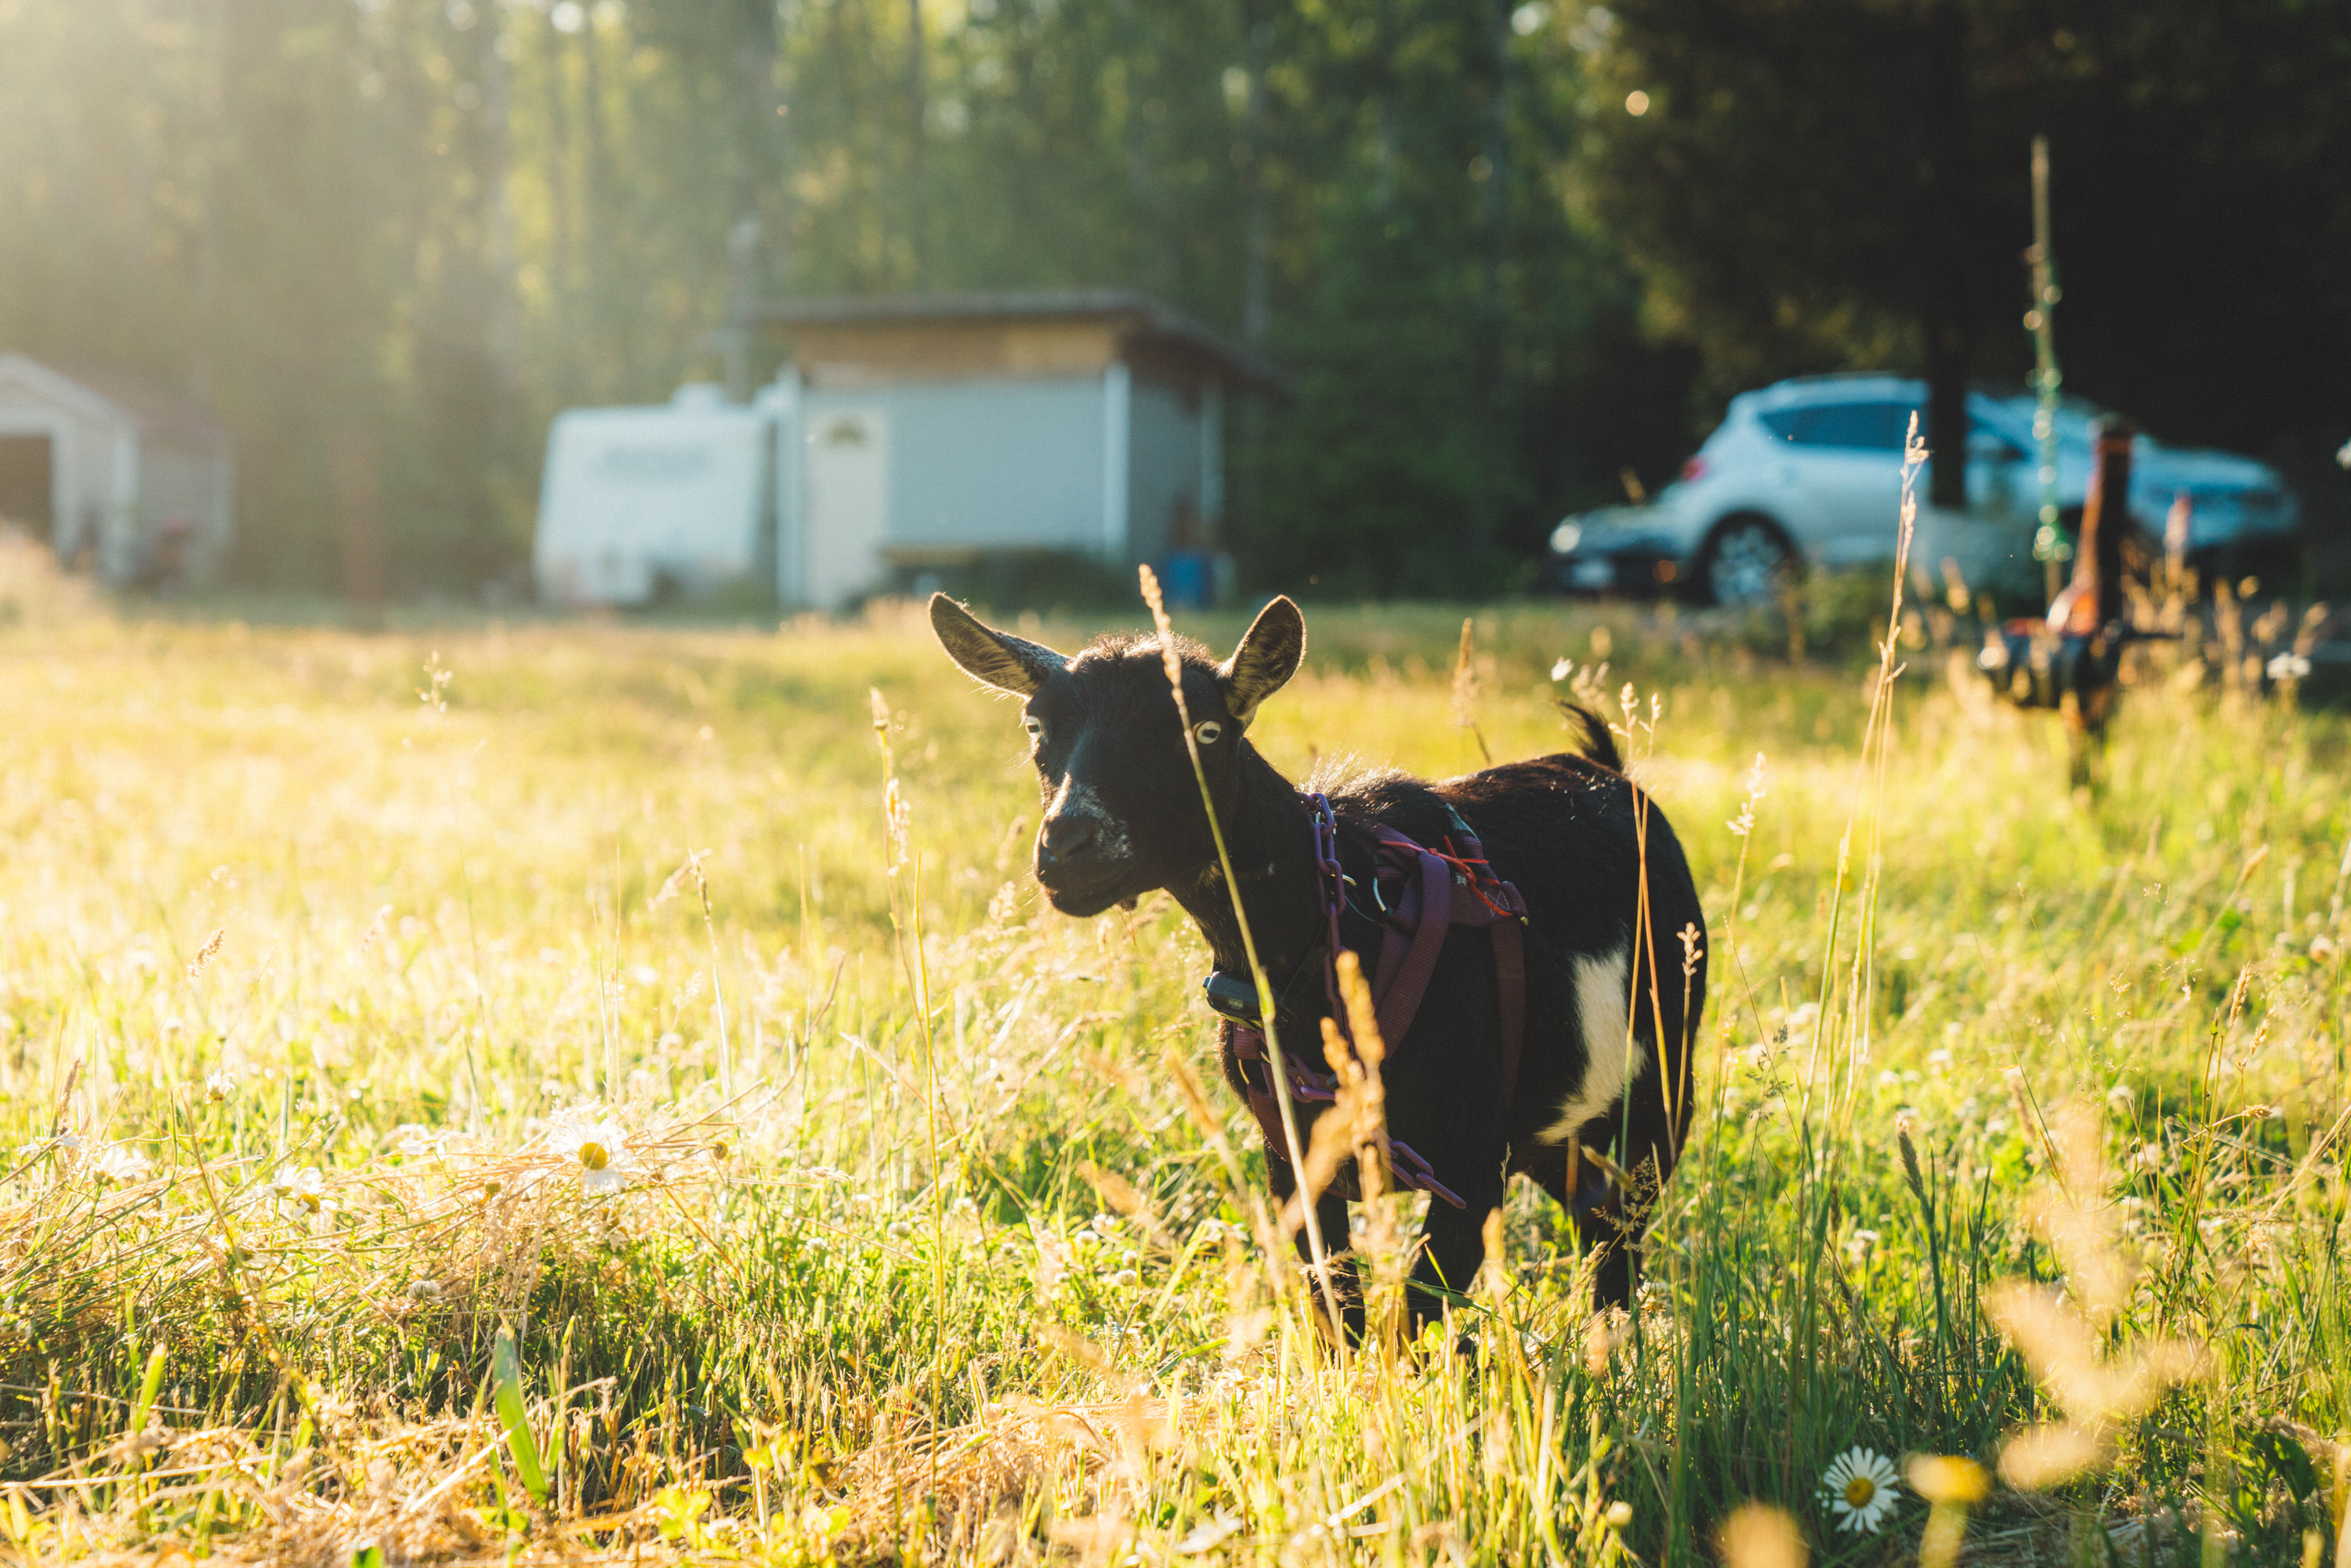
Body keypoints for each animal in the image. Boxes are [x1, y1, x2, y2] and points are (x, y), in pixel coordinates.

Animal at [930, 592, 1707, 1325]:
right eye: (1037, 727)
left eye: (1205, 730)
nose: (1068, 848)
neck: (1337, 929)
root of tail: (1605, 768)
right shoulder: (1294, 1159)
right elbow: (1338, 1308)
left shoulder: (1472, 1159)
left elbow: (1413, 1318)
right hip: (1557, 1126)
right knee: (1594, 1216)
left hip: (1659, 1088)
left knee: (1621, 1226)